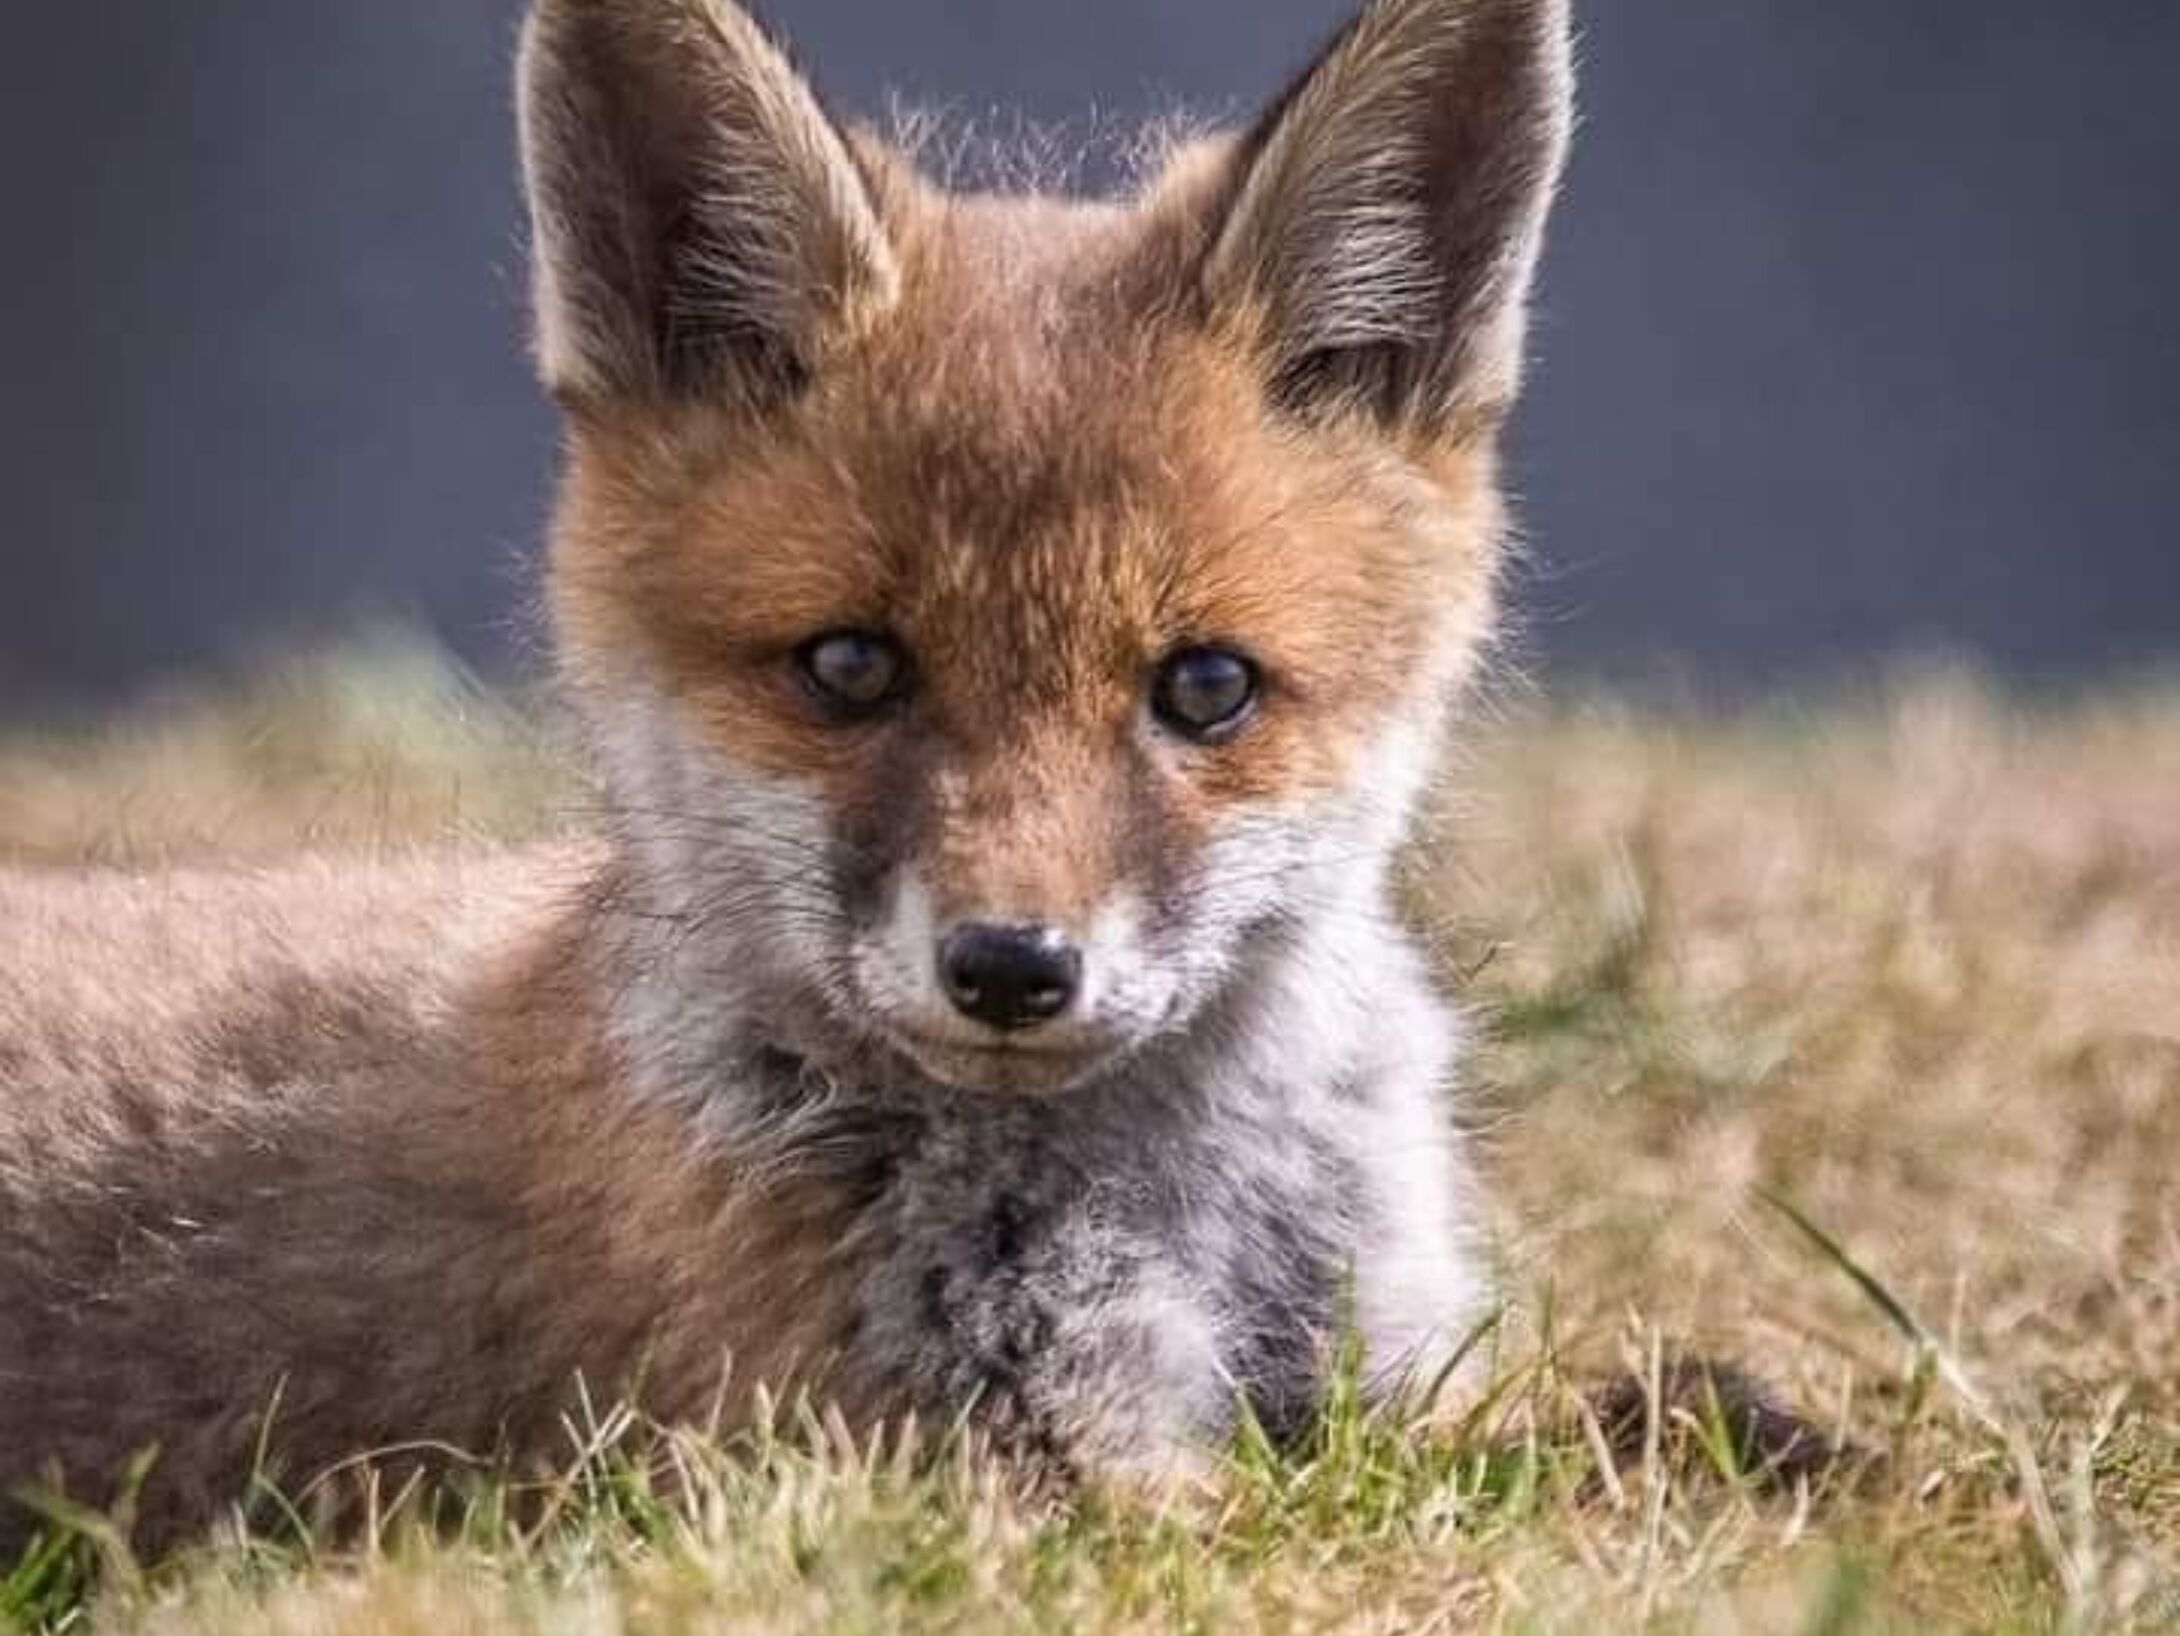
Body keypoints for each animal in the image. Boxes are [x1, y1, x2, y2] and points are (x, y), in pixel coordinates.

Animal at [0, 0, 1578, 1550]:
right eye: (851, 666)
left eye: (1204, 687)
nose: (1011, 968)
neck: (1192, 1208)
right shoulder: (978, 1462)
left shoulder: (1405, 1368)